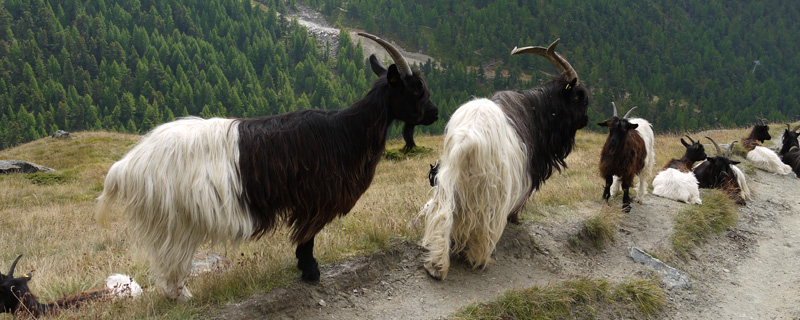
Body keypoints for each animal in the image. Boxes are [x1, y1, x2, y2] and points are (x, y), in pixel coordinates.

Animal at [418, 38, 588, 278]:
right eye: (578, 96)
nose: (586, 119)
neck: (536, 110)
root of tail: (467, 140)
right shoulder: (524, 176)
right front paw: (515, 221)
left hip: (449, 178)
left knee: (442, 213)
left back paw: (437, 265)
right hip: (491, 188)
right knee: (485, 226)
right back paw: (480, 258)